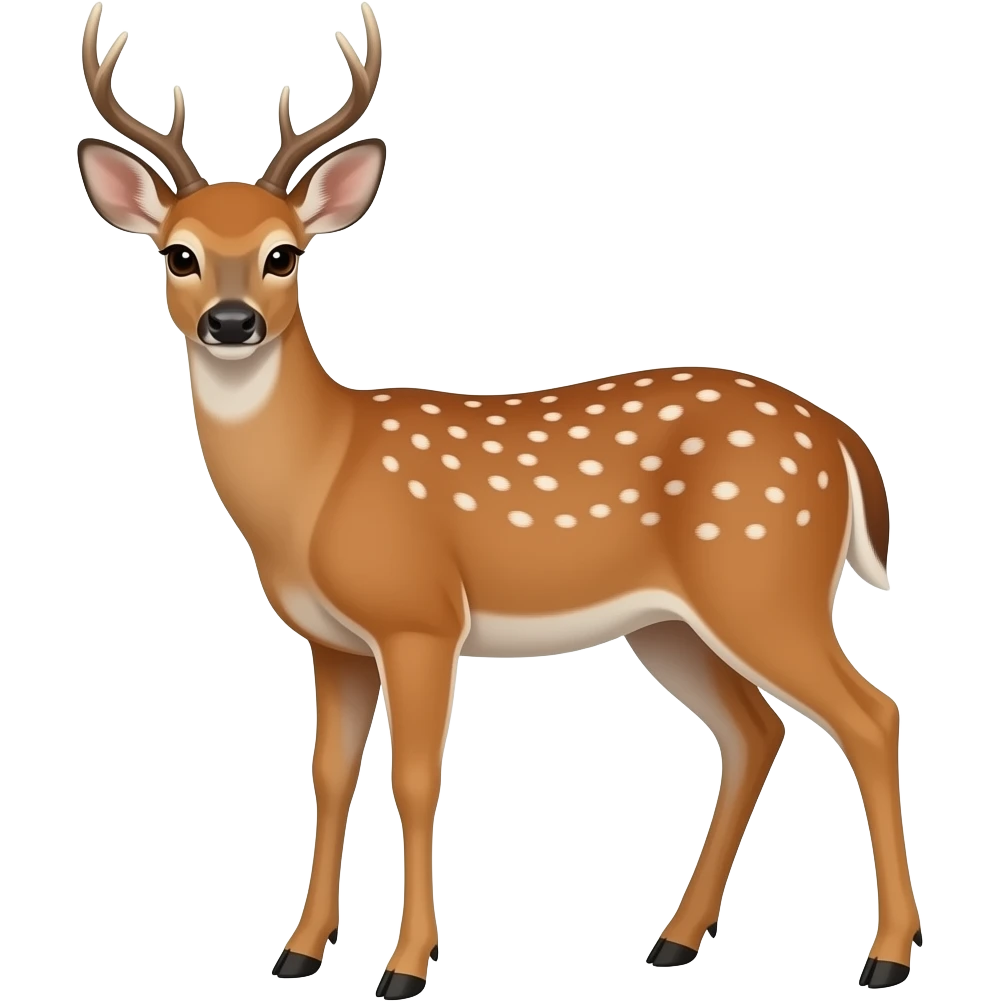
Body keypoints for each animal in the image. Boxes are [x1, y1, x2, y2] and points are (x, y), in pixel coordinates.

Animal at [76, 2, 919, 994]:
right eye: (179, 254)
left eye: (284, 255)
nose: (231, 322)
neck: (319, 477)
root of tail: (841, 440)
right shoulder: (335, 641)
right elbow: (327, 773)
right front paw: (297, 951)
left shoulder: (420, 615)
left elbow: (412, 779)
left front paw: (405, 966)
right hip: (671, 622)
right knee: (756, 731)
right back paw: (673, 939)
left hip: (763, 576)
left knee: (869, 713)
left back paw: (885, 955)